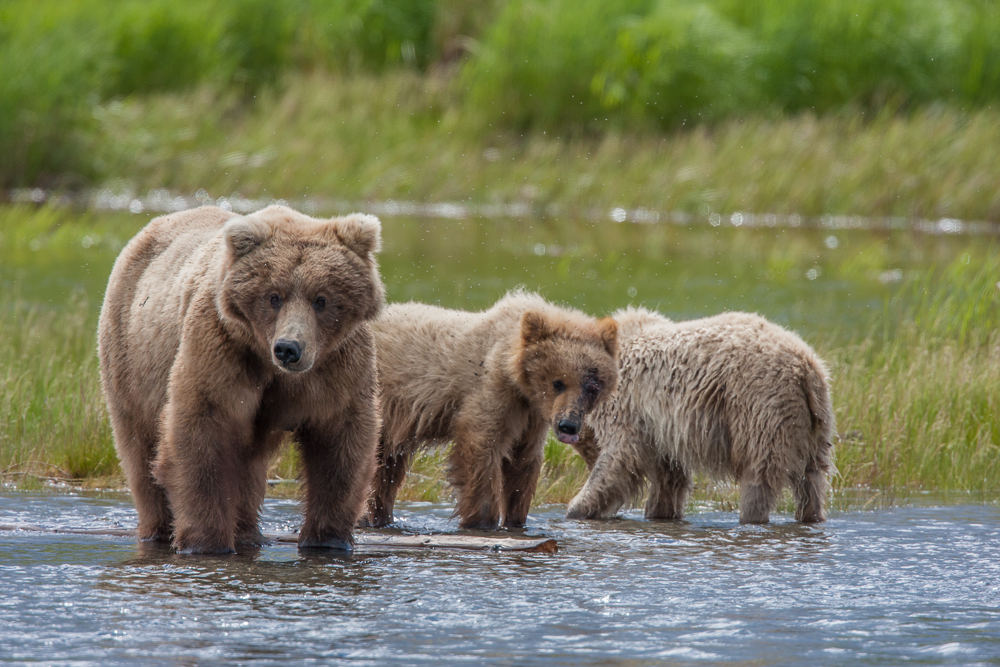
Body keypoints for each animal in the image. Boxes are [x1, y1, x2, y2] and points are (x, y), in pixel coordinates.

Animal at [97, 204, 384, 552]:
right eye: (274, 296)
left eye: (322, 299)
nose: (288, 348)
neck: (270, 365)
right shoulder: (221, 349)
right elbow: (201, 434)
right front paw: (206, 542)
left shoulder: (337, 367)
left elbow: (340, 443)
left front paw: (327, 539)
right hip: (130, 355)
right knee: (139, 448)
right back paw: (159, 528)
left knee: (249, 464)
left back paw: (248, 533)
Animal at [364, 292, 620, 532]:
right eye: (559, 382)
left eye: (592, 386)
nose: (569, 425)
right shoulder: (494, 391)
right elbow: (481, 448)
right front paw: (482, 521)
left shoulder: (532, 417)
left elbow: (523, 462)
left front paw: (516, 519)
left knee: (387, 469)